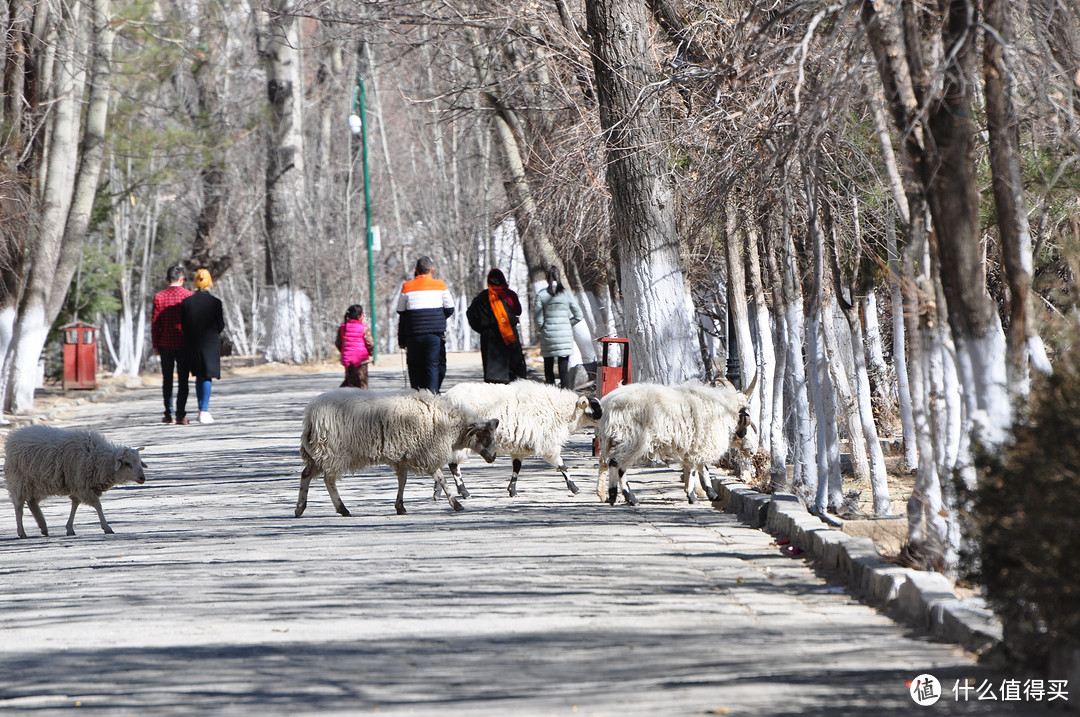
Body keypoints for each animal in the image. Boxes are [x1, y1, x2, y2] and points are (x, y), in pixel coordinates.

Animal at [3, 425, 146, 537]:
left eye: (139, 461)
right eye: (127, 463)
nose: (142, 478)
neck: (100, 459)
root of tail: (12, 437)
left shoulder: (79, 485)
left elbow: (75, 504)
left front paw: (69, 528)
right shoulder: (82, 485)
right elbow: (97, 505)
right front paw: (106, 527)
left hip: (39, 483)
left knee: (32, 502)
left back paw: (43, 527)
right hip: (19, 480)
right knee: (19, 506)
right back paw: (22, 532)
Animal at [295, 386, 496, 516]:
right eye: (485, 436)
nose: (493, 457)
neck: (448, 423)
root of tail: (310, 415)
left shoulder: (404, 457)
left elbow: (402, 481)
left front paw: (400, 506)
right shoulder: (426, 453)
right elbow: (441, 479)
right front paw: (456, 504)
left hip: (319, 452)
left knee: (306, 474)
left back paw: (300, 508)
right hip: (333, 451)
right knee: (329, 480)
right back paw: (342, 509)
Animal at [442, 380, 604, 498]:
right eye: (595, 406)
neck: (561, 411)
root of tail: (447, 397)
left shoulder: (520, 447)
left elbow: (517, 468)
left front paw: (512, 491)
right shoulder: (547, 443)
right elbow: (562, 465)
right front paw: (574, 488)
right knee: (453, 465)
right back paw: (464, 492)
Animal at [596, 377, 756, 507]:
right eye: (746, 423)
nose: (753, 452)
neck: (724, 411)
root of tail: (609, 404)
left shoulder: (696, 446)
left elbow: (701, 468)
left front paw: (710, 494)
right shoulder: (700, 445)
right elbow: (694, 470)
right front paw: (693, 496)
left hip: (613, 440)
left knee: (609, 462)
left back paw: (612, 497)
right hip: (632, 440)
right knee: (618, 465)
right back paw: (629, 498)